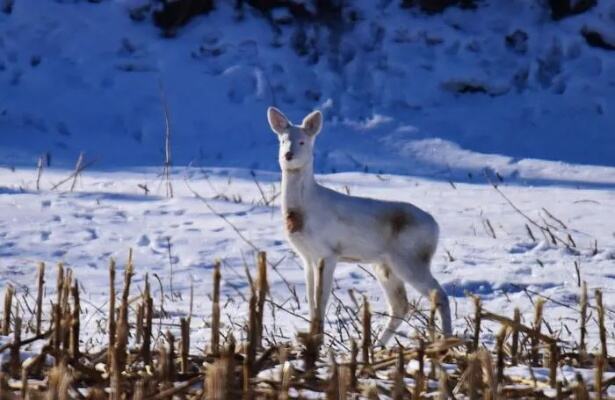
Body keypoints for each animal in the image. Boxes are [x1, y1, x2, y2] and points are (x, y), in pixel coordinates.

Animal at [268, 106, 452, 344]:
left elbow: (321, 300)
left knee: (438, 294)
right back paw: (377, 346)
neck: (305, 207)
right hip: (385, 265)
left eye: (302, 141)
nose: (288, 155)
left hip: (410, 258)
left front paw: (318, 340)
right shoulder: (307, 257)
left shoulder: (329, 252)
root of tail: (436, 228)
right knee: (401, 305)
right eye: (283, 140)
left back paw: (447, 341)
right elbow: (311, 300)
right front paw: (310, 337)